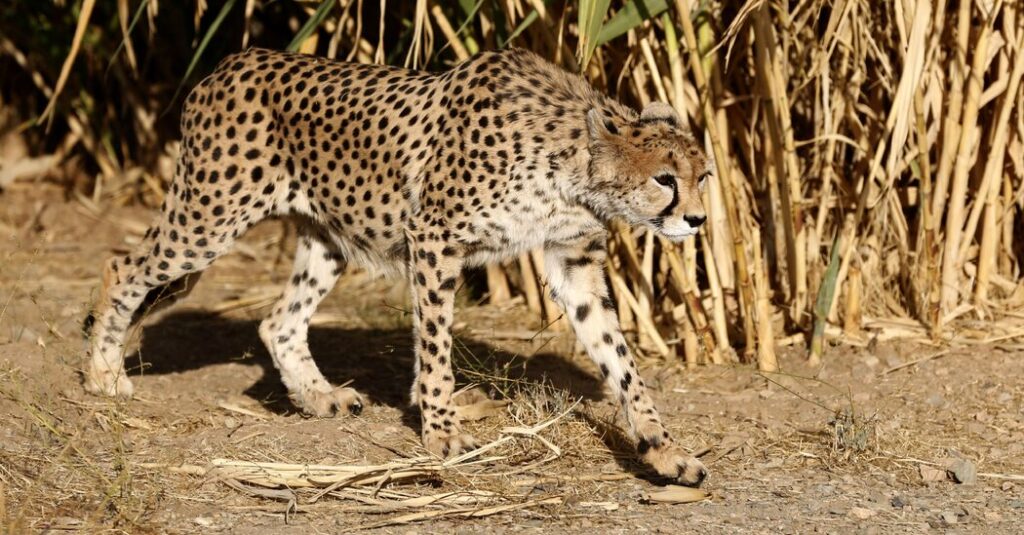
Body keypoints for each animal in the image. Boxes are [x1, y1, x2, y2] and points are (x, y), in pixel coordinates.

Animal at [84, 47, 711, 486]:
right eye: (665, 179)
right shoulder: (434, 239)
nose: (699, 220)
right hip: (209, 217)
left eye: (703, 176)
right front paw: (442, 433)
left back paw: (319, 397)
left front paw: (664, 450)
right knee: (122, 267)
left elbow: (621, 361)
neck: (572, 166)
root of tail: (230, 63)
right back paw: (103, 374)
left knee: (278, 321)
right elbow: (435, 347)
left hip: (329, 237)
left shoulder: (573, 260)